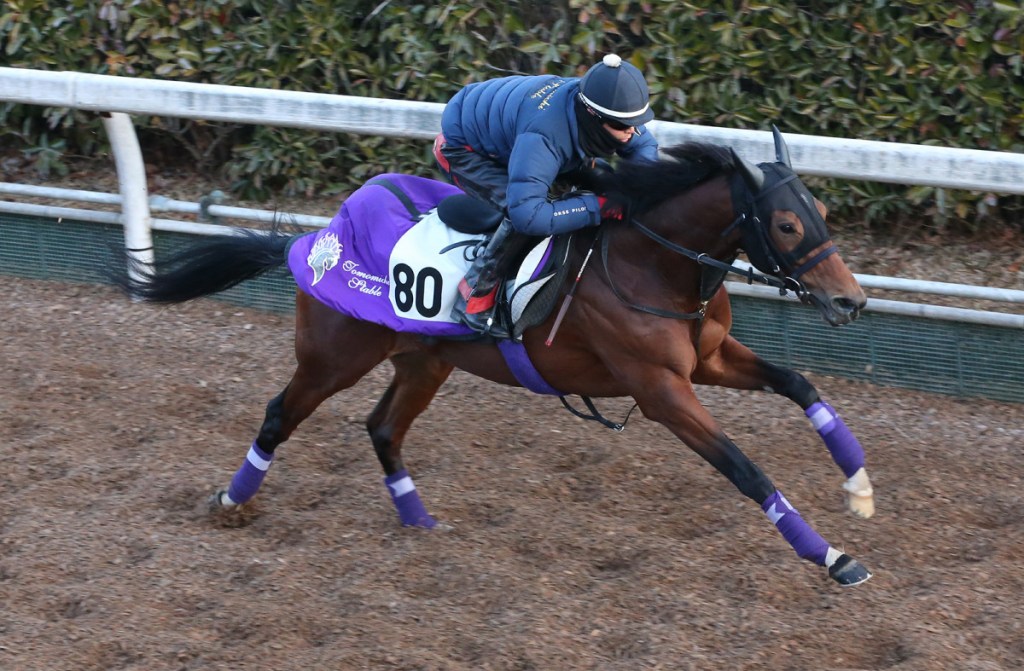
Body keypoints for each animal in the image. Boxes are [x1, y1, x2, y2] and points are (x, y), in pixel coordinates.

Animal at [113, 129, 875, 587]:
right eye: (785, 223)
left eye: (821, 212)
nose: (851, 301)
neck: (652, 261)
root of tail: (317, 239)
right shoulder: (661, 390)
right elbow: (747, 468)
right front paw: (833, 556)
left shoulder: (707, 361)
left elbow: (799, 383)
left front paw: (859, 485)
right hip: (335, 355)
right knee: (279, 414)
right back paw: (230, 501)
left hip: (424, 360)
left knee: (383, 428)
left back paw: (420, 524)